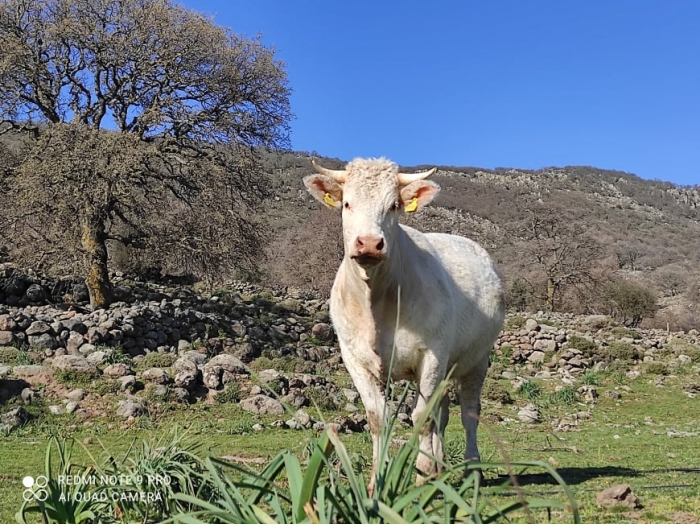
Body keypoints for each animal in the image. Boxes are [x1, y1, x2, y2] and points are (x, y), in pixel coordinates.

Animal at [304, 156, 506, 488]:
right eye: (347, 203)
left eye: (394, 205)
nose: (369, 243)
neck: (376, 304)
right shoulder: (355, 360)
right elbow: (378, 419)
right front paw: (377, 481)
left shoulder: (432, 355)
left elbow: (421, 417)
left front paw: (422, 475)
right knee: (442, 413)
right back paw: (440, 467)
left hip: (476, 359)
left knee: (468, 413)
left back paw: (471, 470)